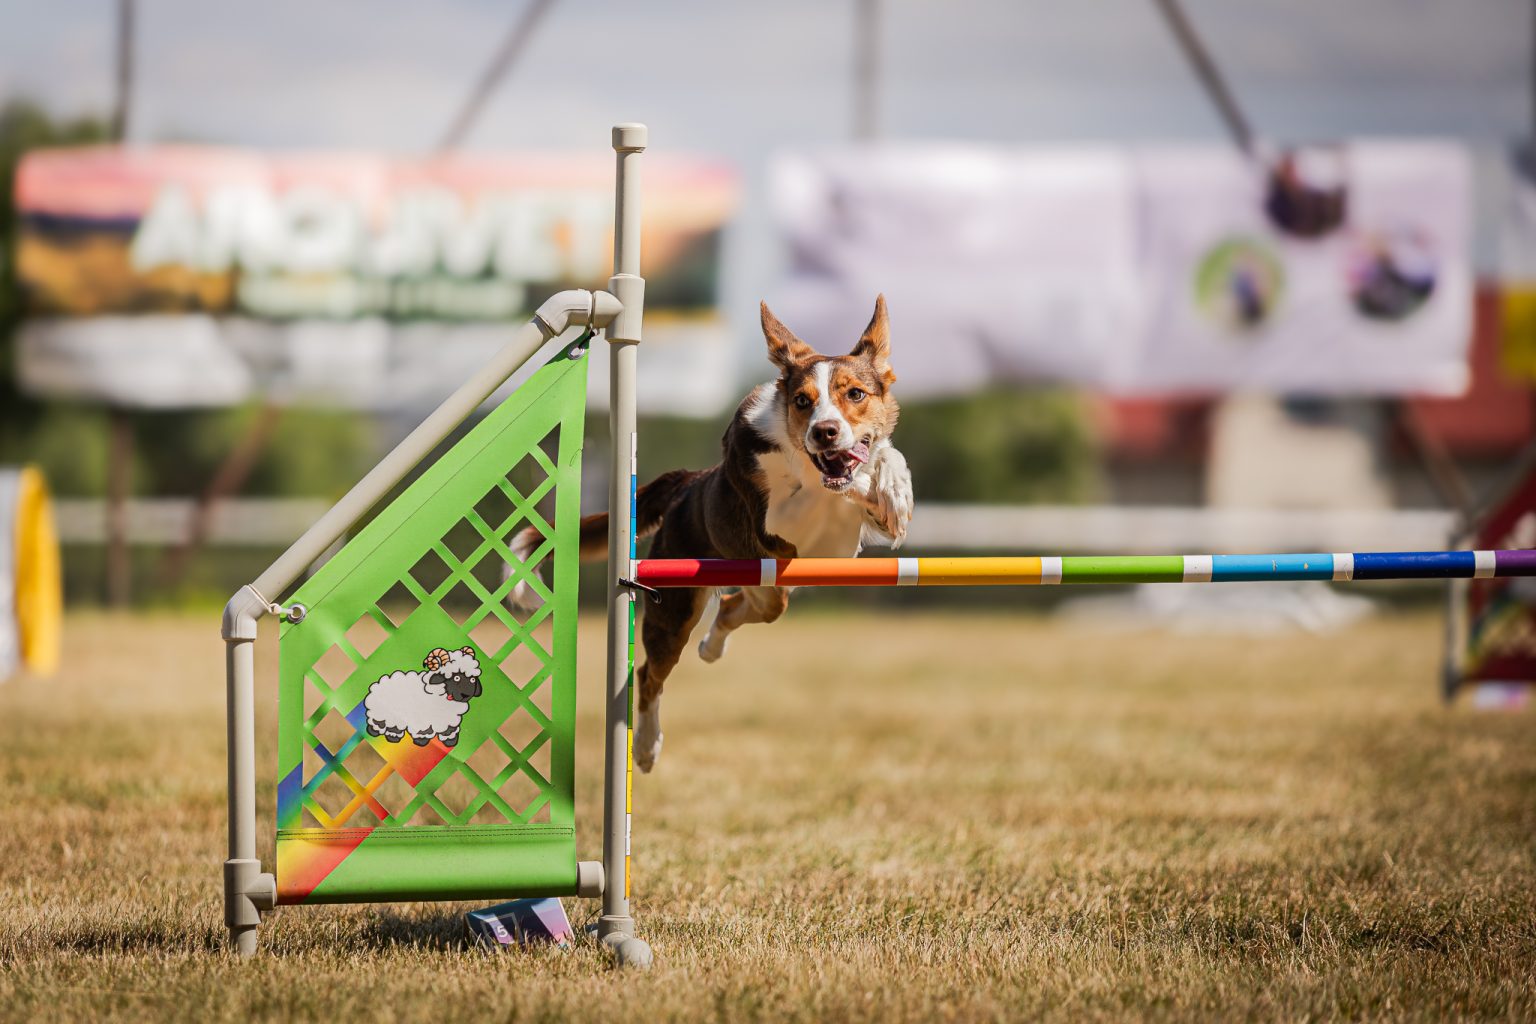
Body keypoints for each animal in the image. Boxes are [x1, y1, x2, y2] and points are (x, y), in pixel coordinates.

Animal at [511, 295, 913, 771]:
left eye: (855, 394)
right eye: (802, 400)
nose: (825, 432)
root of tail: (688, 481)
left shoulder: (835, 546)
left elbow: (881, 459)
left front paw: (895, 493)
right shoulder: (773, 524)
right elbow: (825, 489)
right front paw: (872, 488)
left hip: (768, 587)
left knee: (737, 605)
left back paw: (710, 648)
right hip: (676, 608)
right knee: (649, 674)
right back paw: (645, 747)